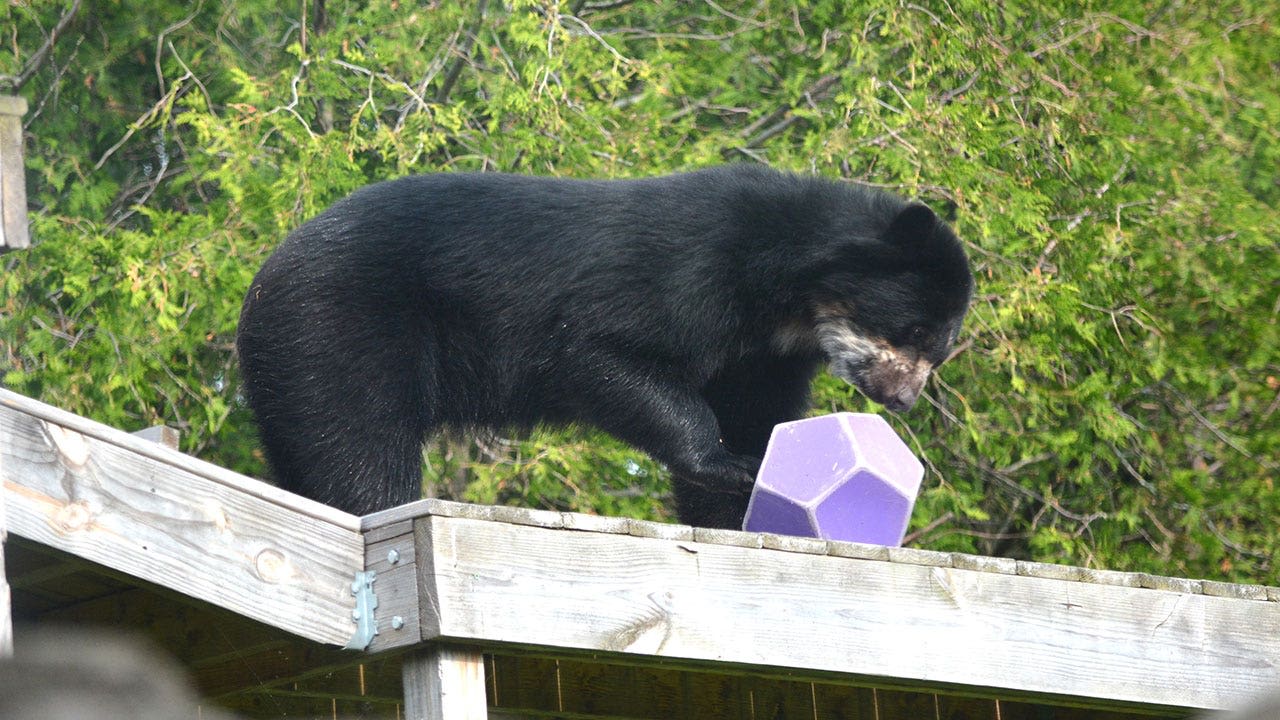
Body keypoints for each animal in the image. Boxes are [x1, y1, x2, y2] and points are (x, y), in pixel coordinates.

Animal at [238, 166, 967, 527]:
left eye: (939, 350)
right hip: (340, 330)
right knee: (358, 445)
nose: (902, 399)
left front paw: (744, 495)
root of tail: (260, 286)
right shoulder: (690, 272)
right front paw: (725, 463)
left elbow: (755, 414)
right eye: (915, 332)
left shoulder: (764, 354)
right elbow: (599, 351)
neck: (787, 302)